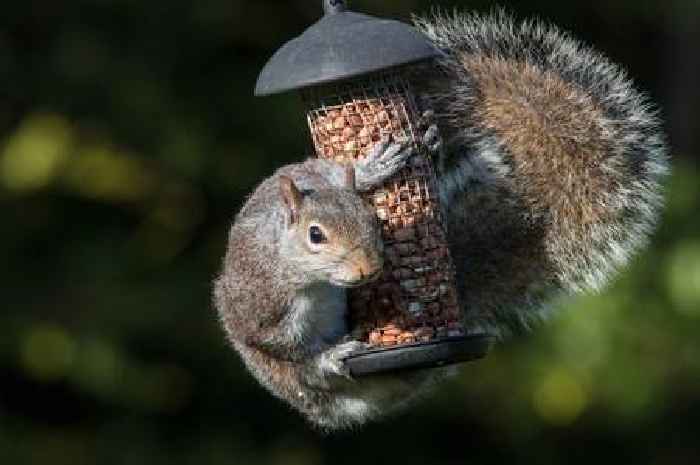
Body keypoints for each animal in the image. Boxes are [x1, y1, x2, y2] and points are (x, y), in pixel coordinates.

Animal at [212, 10, 668, 430]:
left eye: (371, 219)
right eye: (315, 236)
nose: (368, 269)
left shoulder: (314, 173)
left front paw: (373, 168)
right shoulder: (263, 305)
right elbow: (281, 343)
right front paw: (328, 355)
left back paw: (430, 148)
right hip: (286, 379)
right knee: (308, 375)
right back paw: (338, 357)